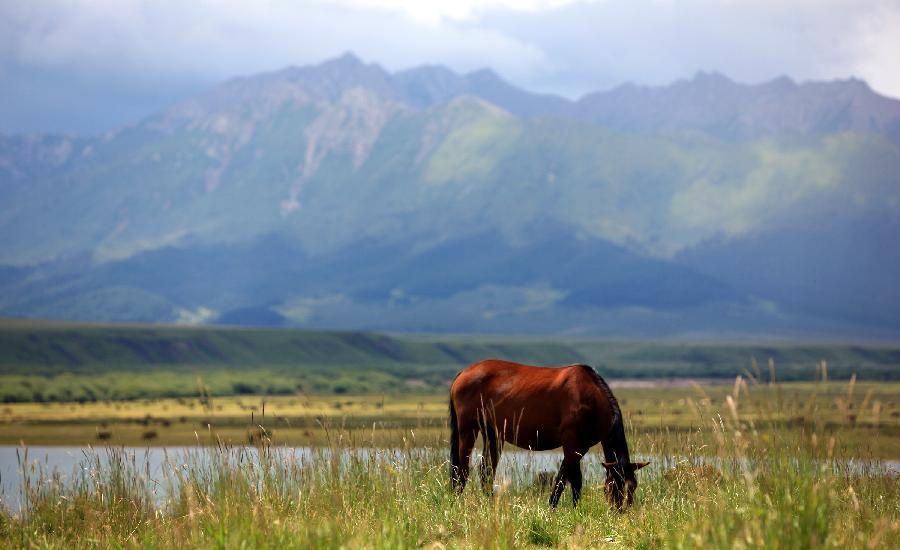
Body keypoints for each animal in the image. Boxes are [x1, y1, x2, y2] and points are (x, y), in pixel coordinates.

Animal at [448, 360, 648, 512]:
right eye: (613, 486)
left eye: (633, 486)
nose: (621, 512)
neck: (589, 397)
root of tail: (463, 372)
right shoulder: (571, 444)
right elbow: (572, 480)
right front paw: (568, 510)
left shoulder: (580, 448)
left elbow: (564, 478)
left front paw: (558, 508)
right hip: (468, 429)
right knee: (462, 469)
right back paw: (456, 502)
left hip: (493, 434)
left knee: (487, 471)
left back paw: (489, 504)